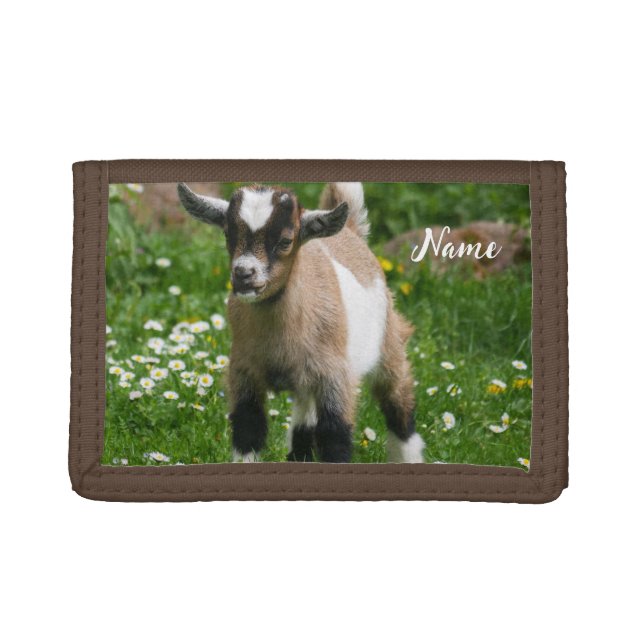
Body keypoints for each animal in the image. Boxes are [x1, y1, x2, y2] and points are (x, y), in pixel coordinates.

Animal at [177, 182, 425, 463]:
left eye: (285, 241)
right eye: (228, 234)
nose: (243, 274)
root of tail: (351, 231)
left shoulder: (335, 377)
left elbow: (335, 436)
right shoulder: (243, 371)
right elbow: (248, 429)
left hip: (389, 344)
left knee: (398, 403)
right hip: (306, 382)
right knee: (304, 420)